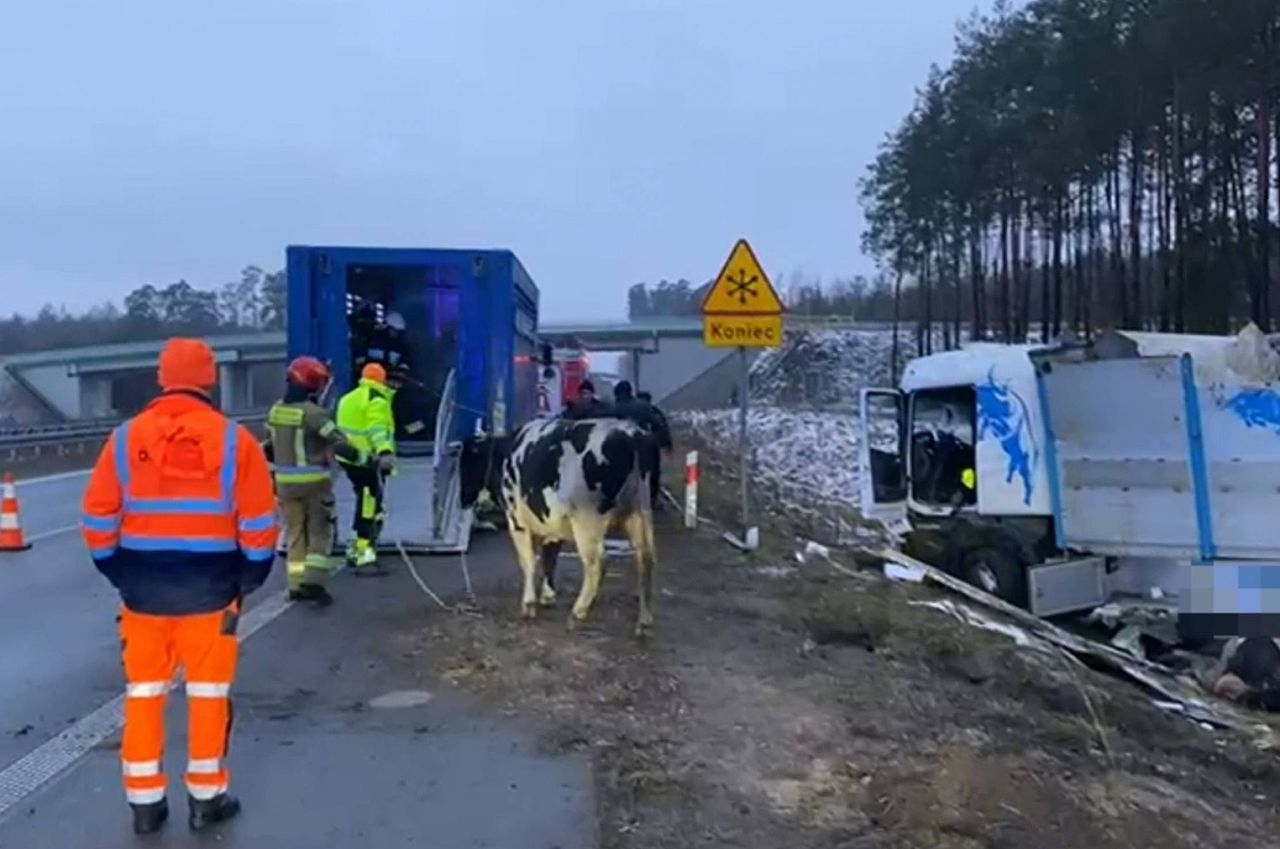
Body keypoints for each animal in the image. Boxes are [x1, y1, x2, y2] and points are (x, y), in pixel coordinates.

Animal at [460, 417, 660, 637]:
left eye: (465, 463)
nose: (462, 499)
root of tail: (633, 435)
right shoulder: (549, 524)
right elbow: (549, 557)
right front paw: (547, 596)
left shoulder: (517, 521)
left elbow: (528, 561)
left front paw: (528, 604)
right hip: (640, 512)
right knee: (646, 559)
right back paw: (644, 621)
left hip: (587, 520)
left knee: (597, 563)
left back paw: (578, 611)